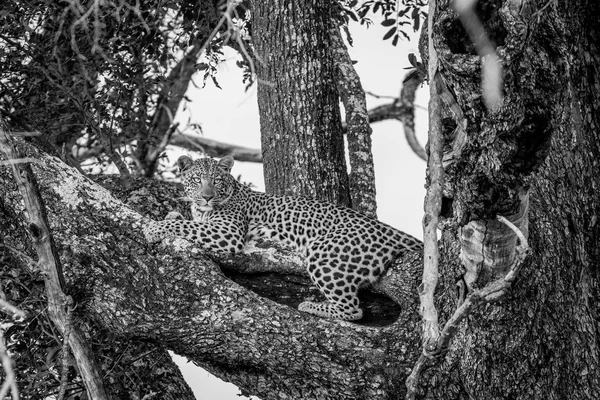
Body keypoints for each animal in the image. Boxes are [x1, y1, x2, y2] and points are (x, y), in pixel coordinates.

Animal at [143, 155, 424, 320]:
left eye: (217, 180)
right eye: (196, 179)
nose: (207, 196)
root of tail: (389, 230)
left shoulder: (228, 232)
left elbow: (187, 226)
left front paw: (154, 228)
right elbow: (186, 221)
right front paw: (170, 215)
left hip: (323, 251)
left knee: (353, 310)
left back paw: (311, 306)